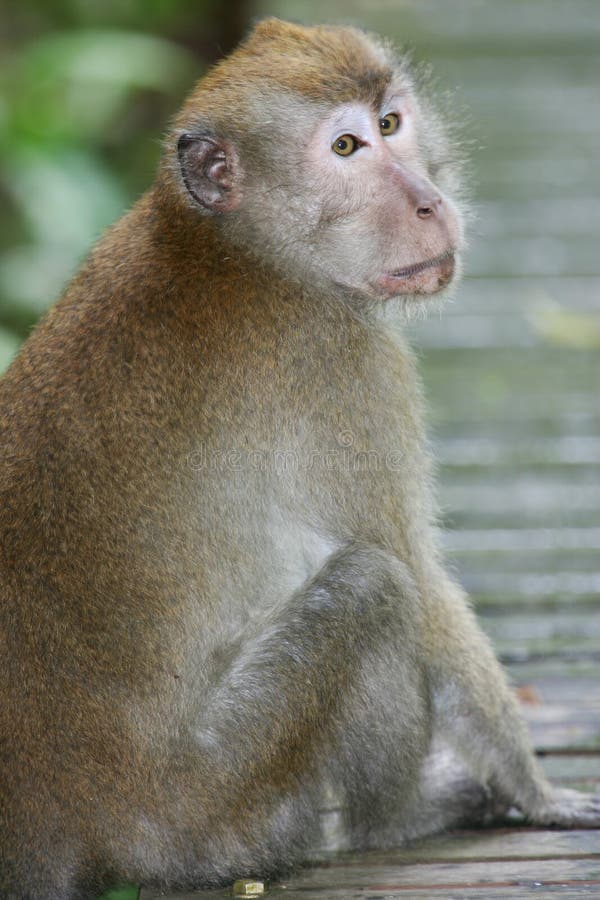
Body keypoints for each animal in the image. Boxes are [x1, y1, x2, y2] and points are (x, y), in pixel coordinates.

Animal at [1, 19, 600, 900]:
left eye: (390, 124)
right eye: (345, 147)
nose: (429, 202)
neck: (236, 246)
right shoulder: (345, 362)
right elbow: (419, 579)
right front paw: (538, 790)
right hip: (213, 799)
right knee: (373, 587)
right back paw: (401, 816)